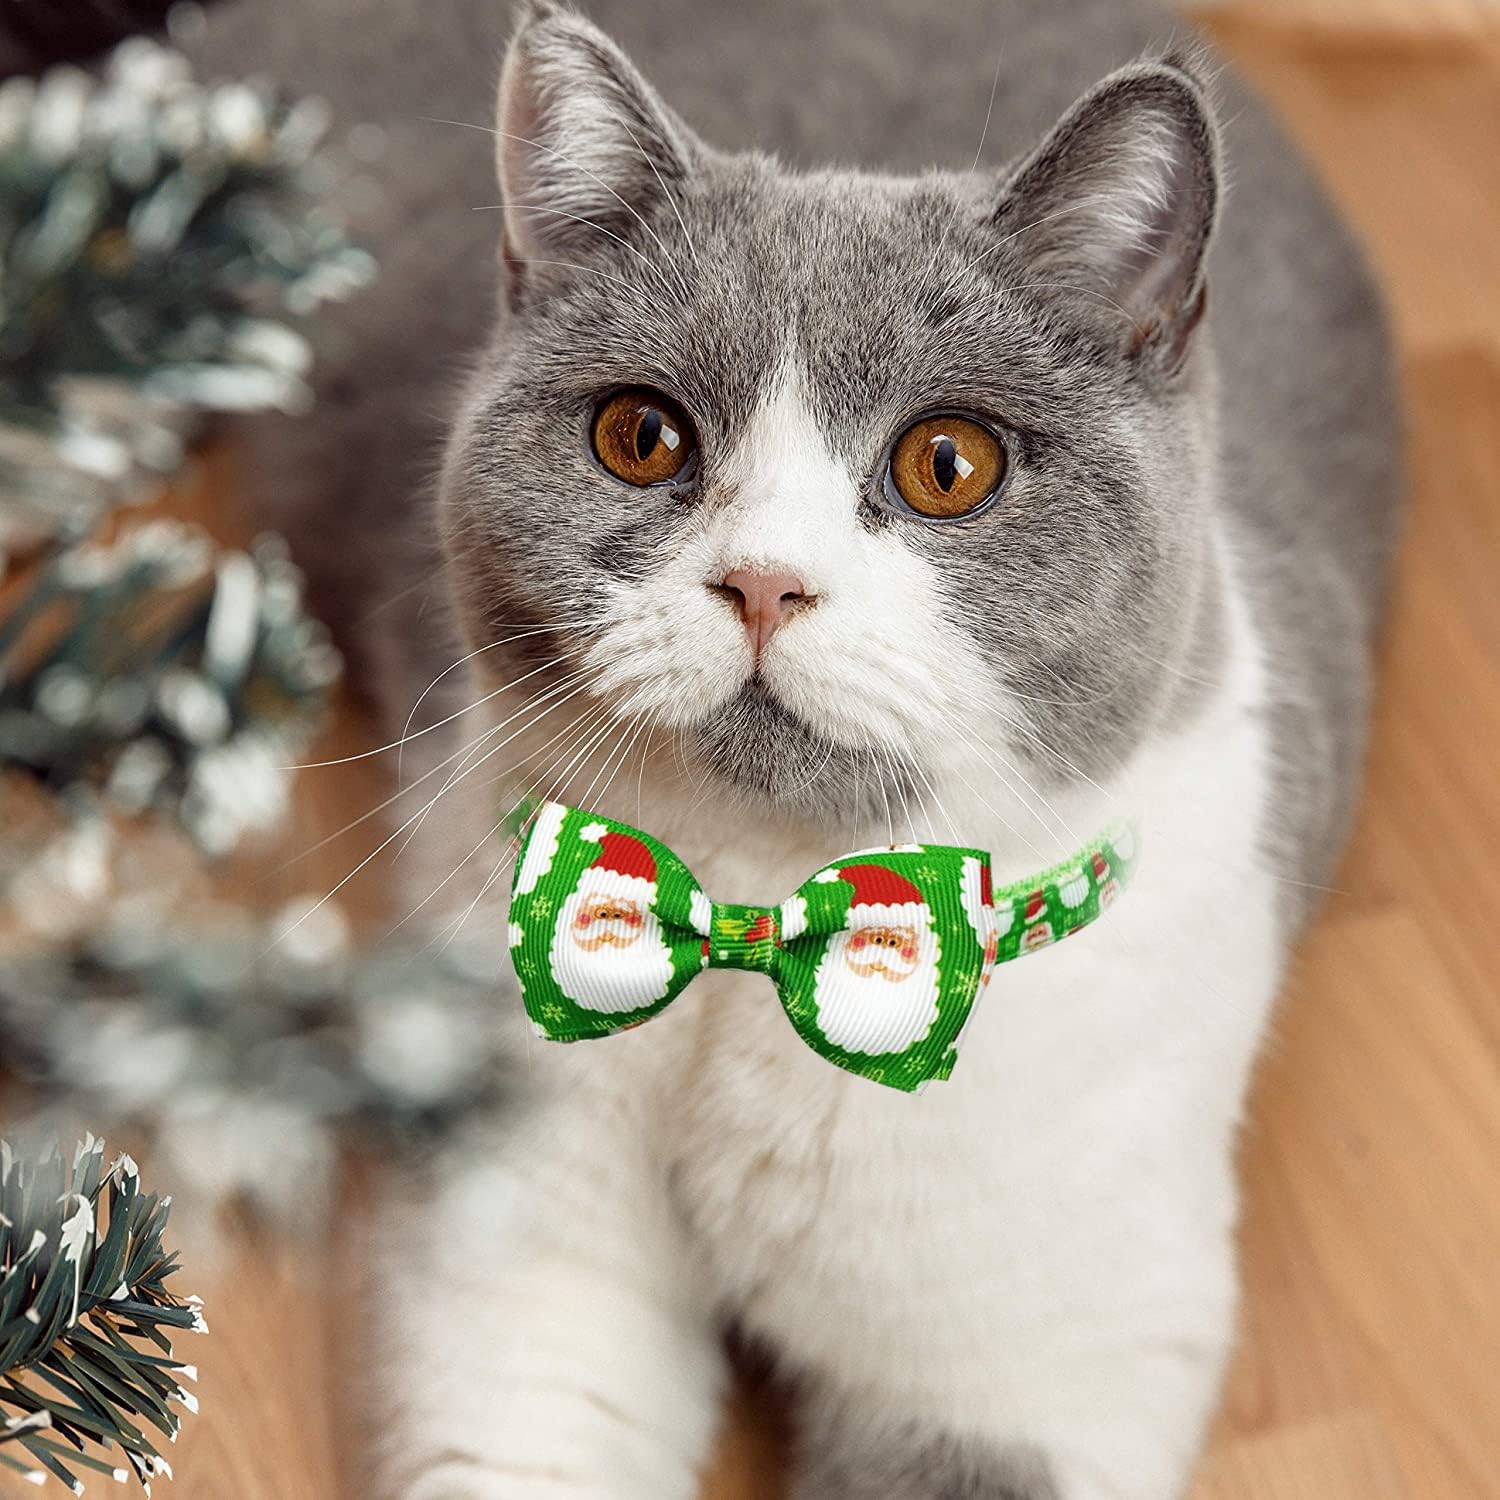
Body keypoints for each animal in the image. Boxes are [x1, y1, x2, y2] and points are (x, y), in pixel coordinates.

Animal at [190, 0, 1404, 1488]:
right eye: (640, 436)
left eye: (950, 464)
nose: (765, 581)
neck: (755, 933)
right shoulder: (522, 1283)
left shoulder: (1037, 1365)